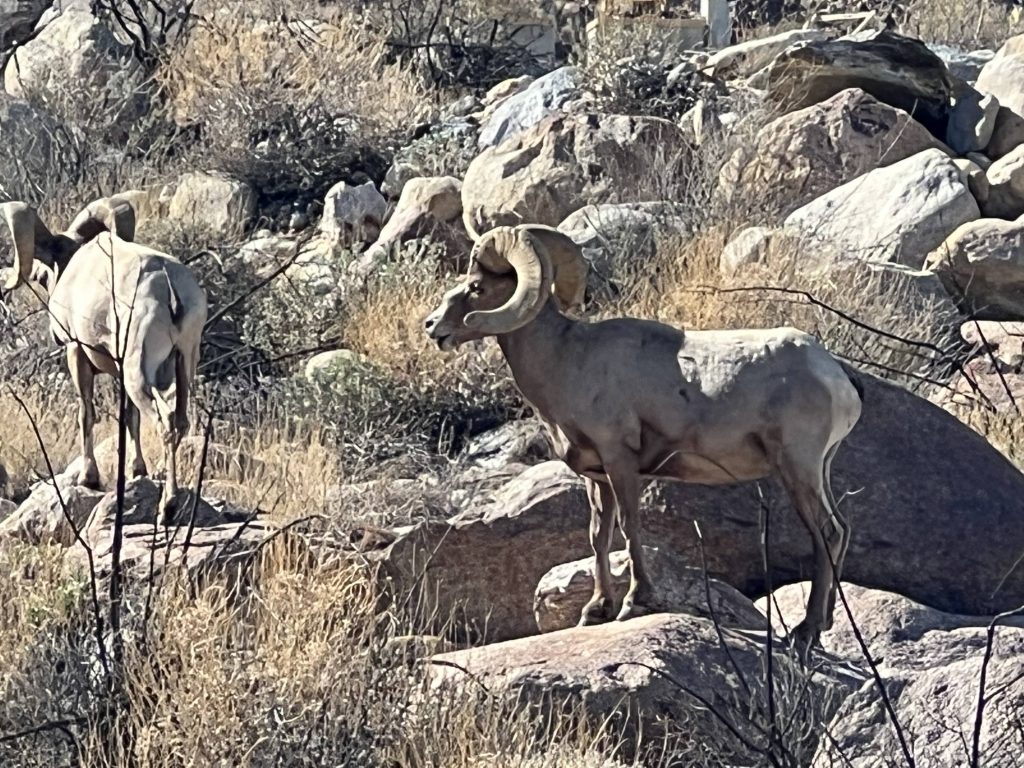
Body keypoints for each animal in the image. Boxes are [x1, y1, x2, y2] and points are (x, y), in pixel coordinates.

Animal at [0, 196, 208, 519]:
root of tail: (167, 284)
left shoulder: (76, 351)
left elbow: (86, 413)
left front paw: (89, 478)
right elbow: (130, 419)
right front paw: (137, 471)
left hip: (138, 371)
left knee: (166, 423)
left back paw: (168, 505)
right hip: (183, 365)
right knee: (180, 421)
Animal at [424, 221, 864, 650]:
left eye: (476, 288)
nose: (432, 328)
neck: (566, 360)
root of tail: (836, 377)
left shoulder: (621, 461)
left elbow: (629, 527)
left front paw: (634, 603)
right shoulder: (596, 477)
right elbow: (598, 537)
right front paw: (595, 611)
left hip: (797, 468)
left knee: (826, 533)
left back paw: (805, 632)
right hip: (818, 469)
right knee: (841, 530)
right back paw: (824, 625)